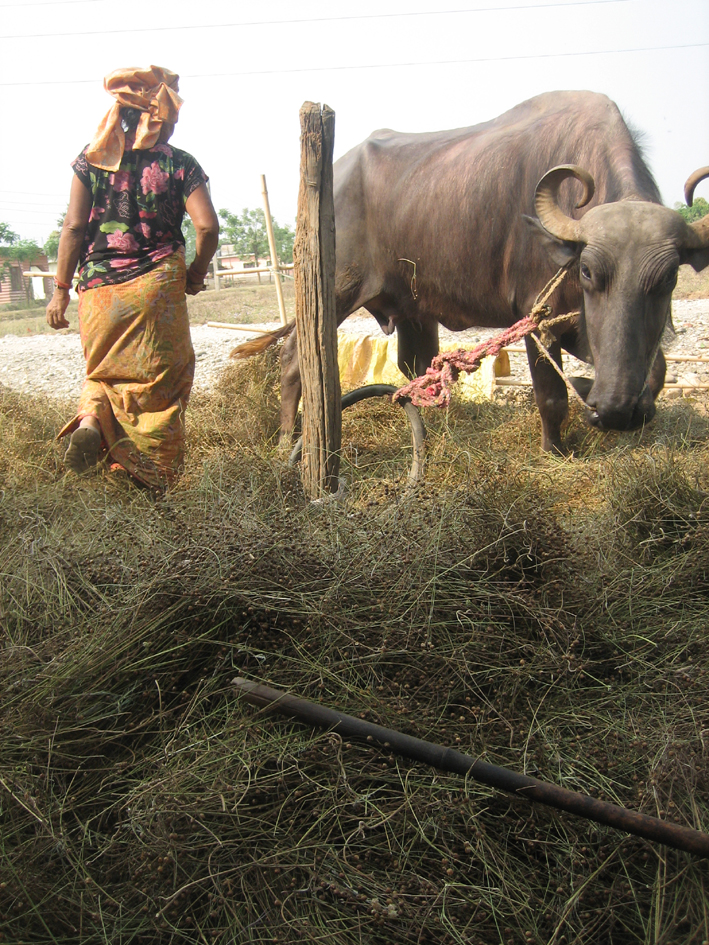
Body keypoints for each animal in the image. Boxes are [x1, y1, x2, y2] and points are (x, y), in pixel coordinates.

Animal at [239, 90, 708, 452]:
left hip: (413, 306)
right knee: (296, 357)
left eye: (668, 278)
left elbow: (656, 369)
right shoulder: (536, 319)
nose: (615, 410)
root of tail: (333, 174)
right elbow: (552, 397)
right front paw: (554, 451)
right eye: (589, 271)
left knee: (416, 365)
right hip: (334, 289)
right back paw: (287, 438)